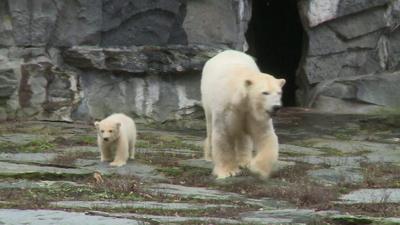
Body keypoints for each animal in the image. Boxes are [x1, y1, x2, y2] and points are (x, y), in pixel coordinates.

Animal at [203, 49, 284, 179]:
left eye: (279, 92)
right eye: (265, 92)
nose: (276, 107)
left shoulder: (253, 113)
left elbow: (265, 135)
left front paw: (257, 168)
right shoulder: (225, 108)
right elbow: (223, 134)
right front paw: (228, 172)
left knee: (243, 136)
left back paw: (244, 161)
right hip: (207, 101)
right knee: (210, 127)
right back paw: (209, 157)